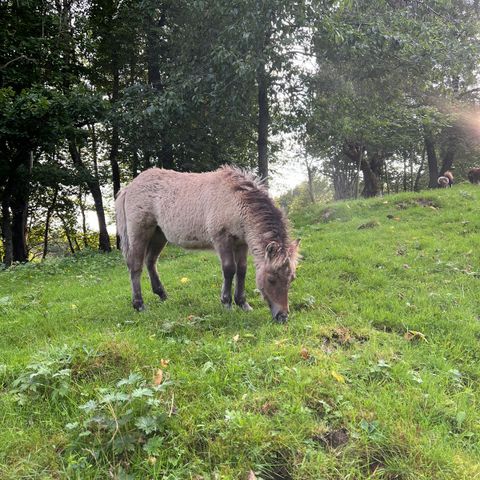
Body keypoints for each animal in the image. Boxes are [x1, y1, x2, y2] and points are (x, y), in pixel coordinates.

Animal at [114, 166, 298, 322]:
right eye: (271, 279)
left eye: (291, 279)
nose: (282, 316)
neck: (234, 199)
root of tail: (128, 188)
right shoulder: (222, 239)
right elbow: (229, 269)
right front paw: (227, 304)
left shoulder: (241, 242)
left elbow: (242, 270)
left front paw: (243, 304)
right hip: (139, 232)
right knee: (135, 266)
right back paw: (139, 305)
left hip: (159, 235)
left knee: (151, 262)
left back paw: (163, 295)